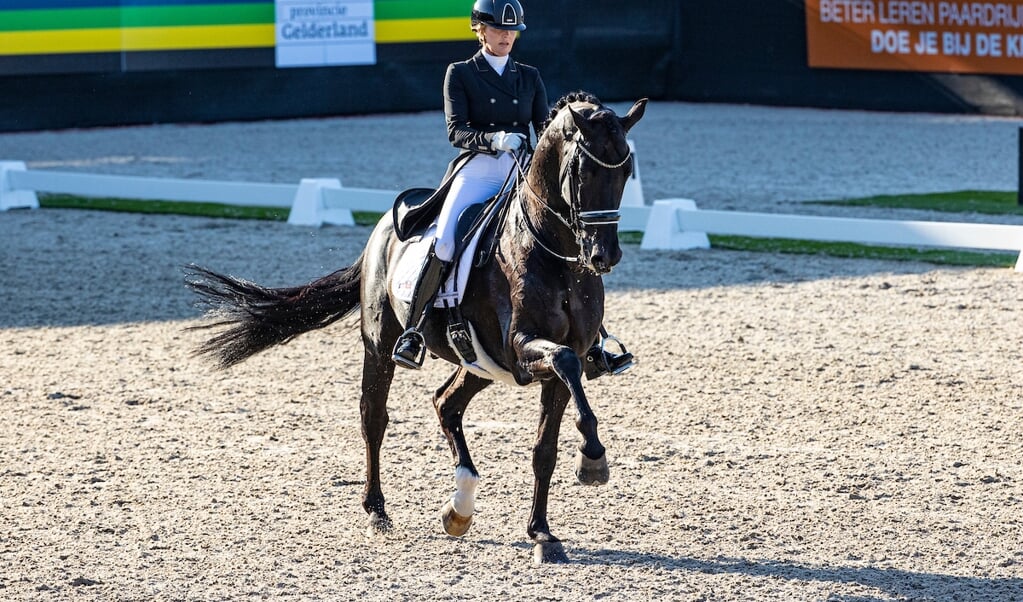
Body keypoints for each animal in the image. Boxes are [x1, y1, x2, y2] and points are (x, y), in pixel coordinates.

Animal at [185, 90, 646, 565]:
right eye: (585, 170)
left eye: (626, 170)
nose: (604, 256)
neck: (553, 254)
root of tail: (383, 230)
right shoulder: (520, 351)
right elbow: (566, 363)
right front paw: (593, 461)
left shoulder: (550, 362)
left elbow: (545, 447)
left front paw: (543, 532)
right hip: (380, 346)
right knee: (374, 418)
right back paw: (377, 511)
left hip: (478, 362)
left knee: (446, 404)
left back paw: (459, 509)